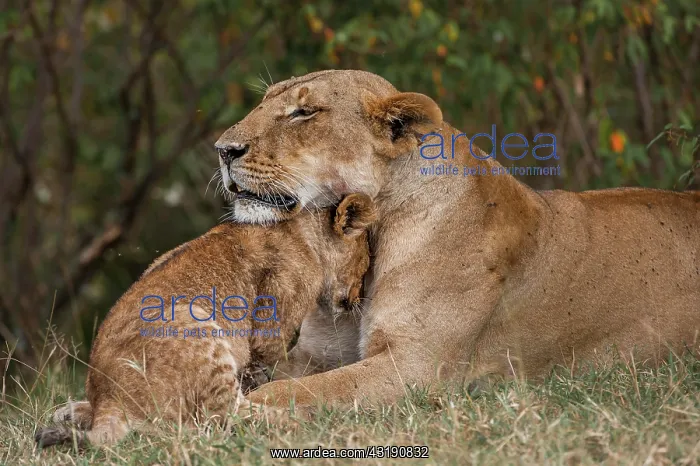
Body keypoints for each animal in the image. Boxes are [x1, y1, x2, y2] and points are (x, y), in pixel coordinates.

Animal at [35, 193, 376, 448]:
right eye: (366, 261)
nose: (359, 297)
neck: (304, 233)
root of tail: (108, 397)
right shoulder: (273, 320)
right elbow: (268, 366)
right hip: (196, 321)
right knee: (221, 418)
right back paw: (313, 417)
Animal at [212, 69, 700, 408]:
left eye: (304, 112)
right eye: (264, 102)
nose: (222, 149)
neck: (368, 233)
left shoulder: (417, 367)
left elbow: (305, 392)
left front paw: (245, 414)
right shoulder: (312, 354)